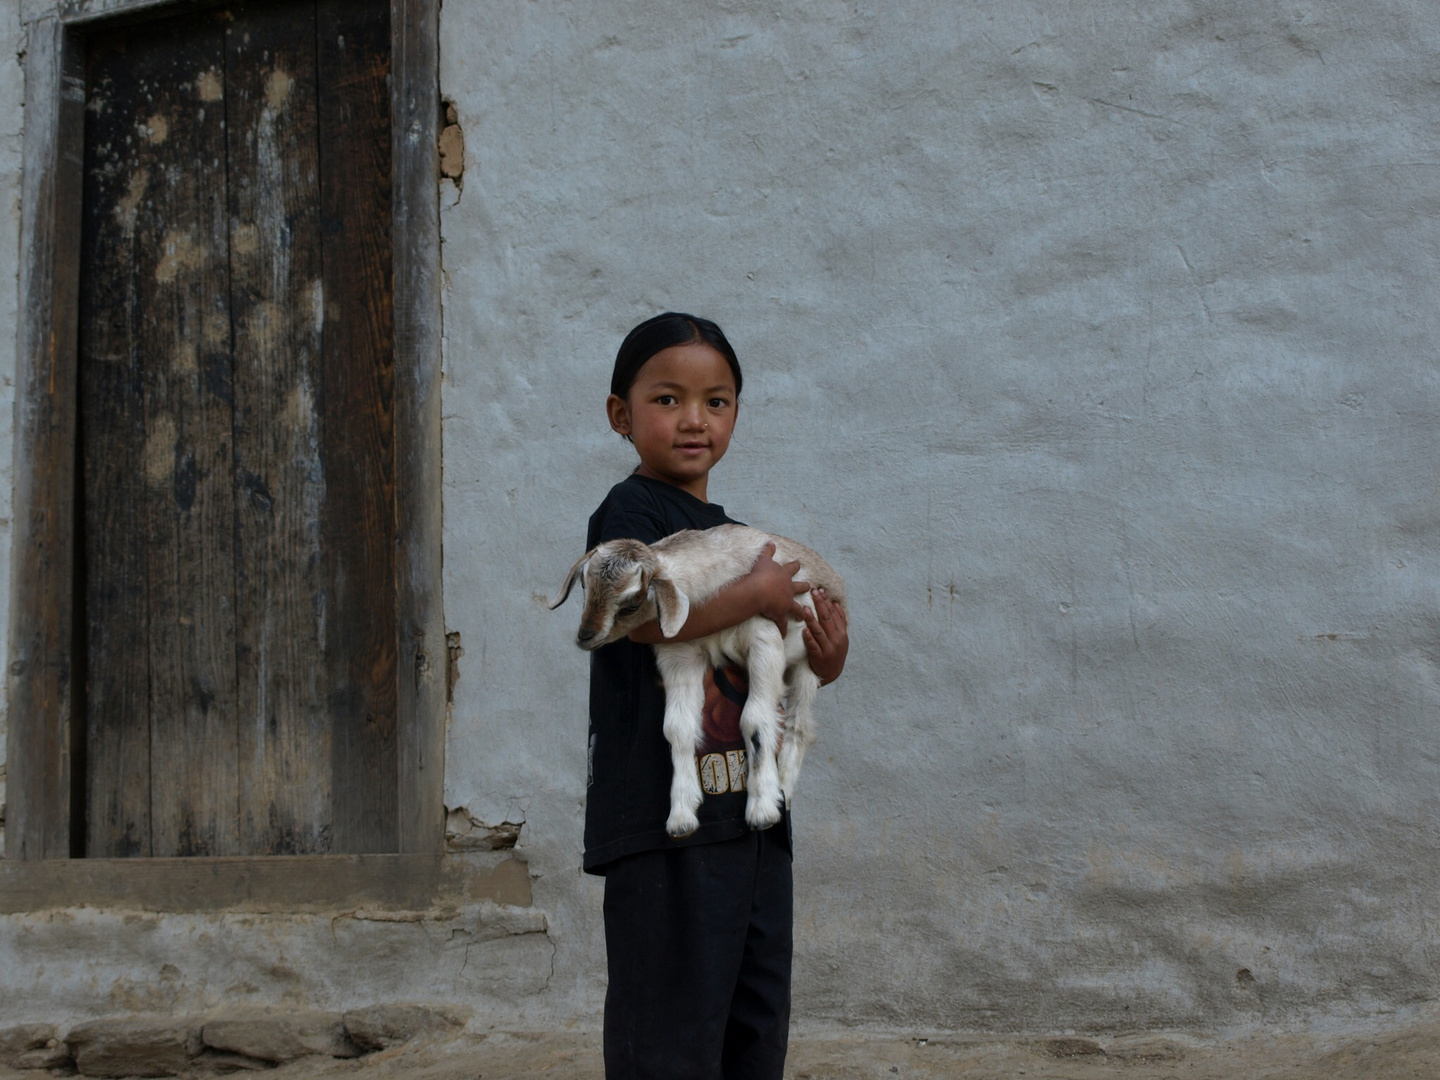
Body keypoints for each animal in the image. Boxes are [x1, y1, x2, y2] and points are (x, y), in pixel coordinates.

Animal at [550, 529, 840, 840]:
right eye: (584, 585)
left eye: (631, 605)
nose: (585, 636)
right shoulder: (680, 655)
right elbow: (677, 728)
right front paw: (681, 817)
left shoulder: (764, 638)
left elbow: (755, 719)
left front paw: (762, 810)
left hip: (809, 661)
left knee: (799, 725)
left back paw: (783, 788)